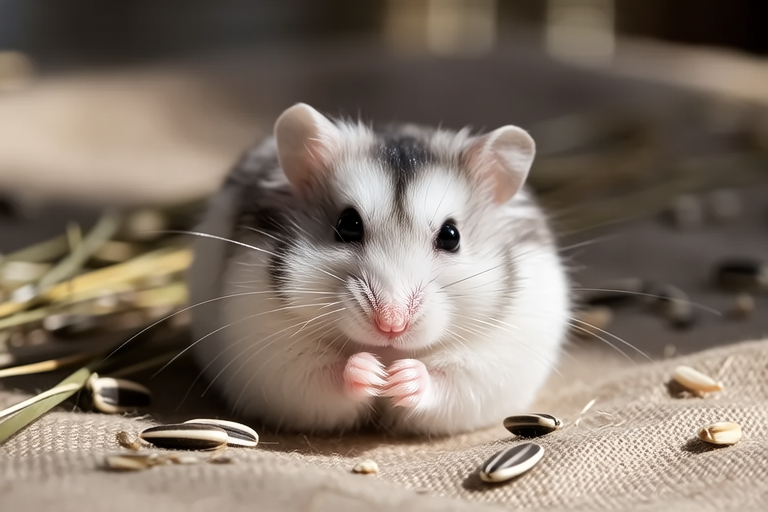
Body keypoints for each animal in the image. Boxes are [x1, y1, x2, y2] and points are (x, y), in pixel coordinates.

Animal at [187, 103, 570, 436]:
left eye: (451, 236)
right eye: (347, 225)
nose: (391, 325)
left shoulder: (496, 357)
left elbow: (449, 380)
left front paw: (401, 378)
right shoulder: (271, 350)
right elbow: (323, 375)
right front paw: (371, 374)